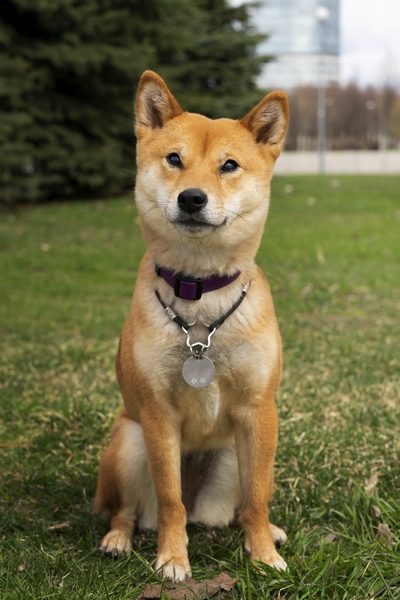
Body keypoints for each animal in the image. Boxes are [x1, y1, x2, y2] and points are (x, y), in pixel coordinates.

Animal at [95, 70, 290, 580]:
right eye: (174, 159)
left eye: (229, 166)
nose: (192, 197)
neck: (201, 301)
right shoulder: (158, 416)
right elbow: (169, 501)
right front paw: (172, 558)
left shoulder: (259, 411)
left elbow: (257, 499)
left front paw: (263, 553)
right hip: (130, 442)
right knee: (127, 510)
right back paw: (117, 539)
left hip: (240, 456)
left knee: (243, 504)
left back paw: (267, 530)